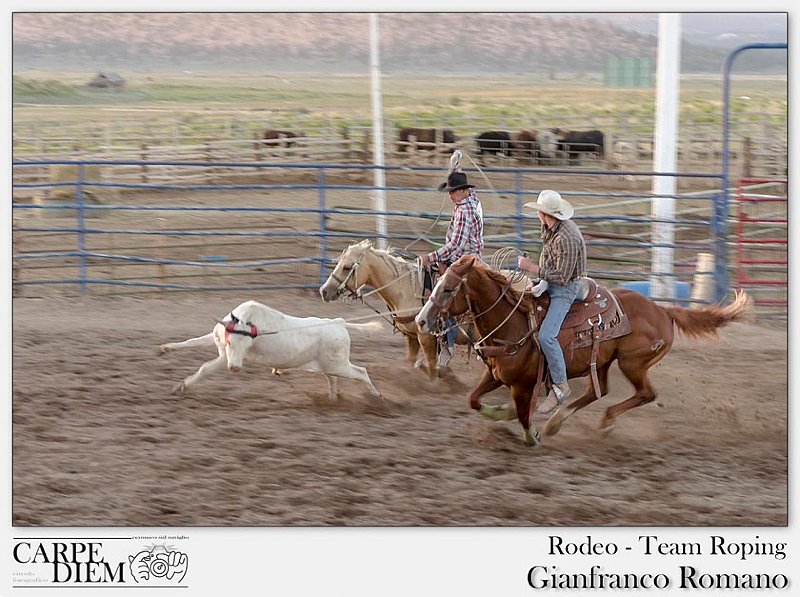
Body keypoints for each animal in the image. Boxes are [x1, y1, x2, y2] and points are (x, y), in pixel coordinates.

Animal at [158, 298, 382, 400]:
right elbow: (191, 341)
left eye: (248, 345)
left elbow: (205, 368)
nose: (235, 368)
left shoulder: (226, 358)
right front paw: (165, 348)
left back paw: (376, 397)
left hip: (339, 364)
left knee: (361, 372)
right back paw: (332, 398)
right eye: (230, 342)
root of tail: (339, 322)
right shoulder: (219, 343)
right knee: (332, 379)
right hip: (329, 364)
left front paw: (182, 386)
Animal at [416, 254, 752, 444]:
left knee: (645, 394)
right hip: (603, 360)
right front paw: (502, 413)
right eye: (437, 283)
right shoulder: (496, 375)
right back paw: (557, 420)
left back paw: (602, 424)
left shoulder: (523, 385)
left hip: (632, 363)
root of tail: (662, 309)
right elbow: (473, 400)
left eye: (448, 289)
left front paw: (529, 431)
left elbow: (524, 417)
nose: (421, 320)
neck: (513, 323)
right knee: (597, 390)